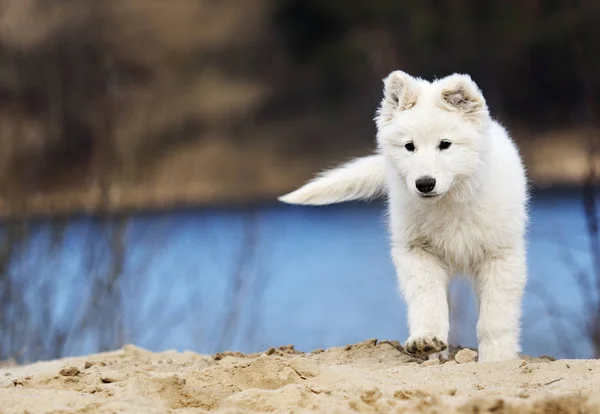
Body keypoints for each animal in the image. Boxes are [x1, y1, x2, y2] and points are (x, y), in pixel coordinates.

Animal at [278, 71, 528, 362]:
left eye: (445, 145)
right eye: (409, 146)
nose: (424, 184)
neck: (450, 202)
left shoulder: (500, 255)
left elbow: (495, 317)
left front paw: (497, 360)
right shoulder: (417, 251)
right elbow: (427, 301)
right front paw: (426, 341)